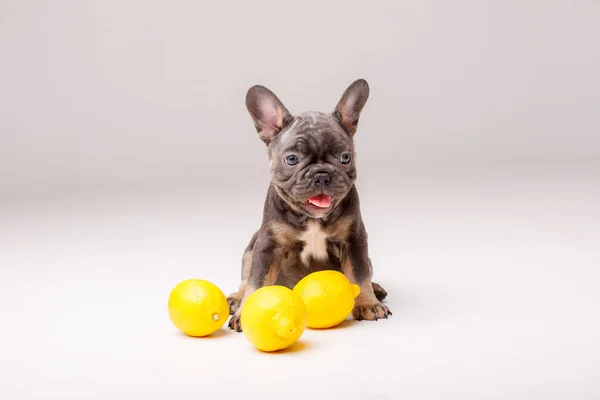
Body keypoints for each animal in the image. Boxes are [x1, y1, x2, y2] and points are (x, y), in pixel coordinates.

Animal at [227, 79, 392, 332]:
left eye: (345, 157)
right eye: (291, 159)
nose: (322, 175)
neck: (311, 218)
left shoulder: (354, 240)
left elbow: (359, 273)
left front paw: (367, 302)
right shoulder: (267, 247)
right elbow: (257, 281)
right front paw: (245, 312)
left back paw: (377, 289)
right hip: (251, 247)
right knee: (245, 279)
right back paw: (237, 298)